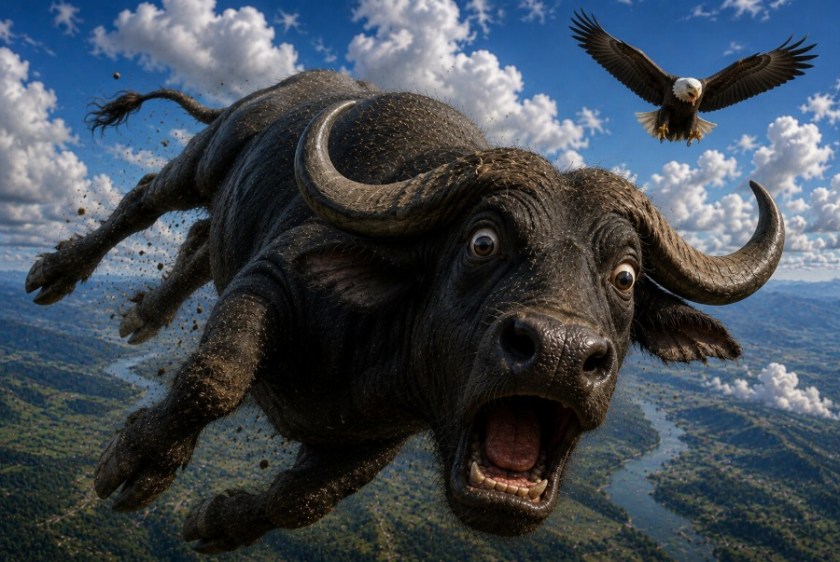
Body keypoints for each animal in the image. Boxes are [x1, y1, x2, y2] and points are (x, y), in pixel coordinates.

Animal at [25, 70, 783, 553]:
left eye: (625, 276)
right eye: (482, 241)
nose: (561, 351)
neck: (380, 344)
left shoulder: (382, 437)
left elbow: (301, 501)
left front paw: (217, 521)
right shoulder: (269, 282)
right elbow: (216, 379)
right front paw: (135, 464)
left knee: (198, 240)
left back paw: (145, 315)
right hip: (212, 155)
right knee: (149, 199)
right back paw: (58, 273)